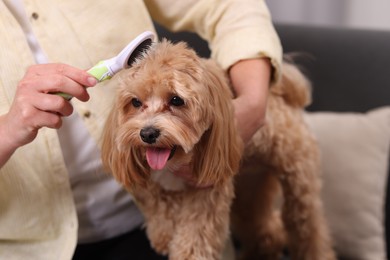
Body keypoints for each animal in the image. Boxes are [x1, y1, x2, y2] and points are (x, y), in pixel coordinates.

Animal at [101, 40, 336, 260]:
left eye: (176, 100)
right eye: (135, 102)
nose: (148, 134)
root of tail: (279, 93)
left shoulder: (207, 191)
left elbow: (196, 235)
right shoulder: (154, 187)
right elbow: (160, 212)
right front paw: (164, 236)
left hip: (299, 181)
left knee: (307, 228)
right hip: (248, 191)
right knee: (269, 231)